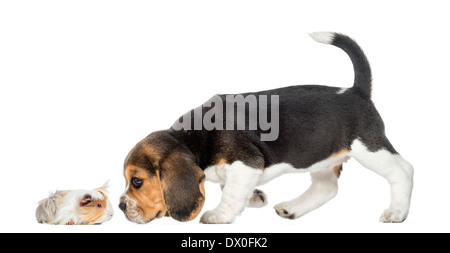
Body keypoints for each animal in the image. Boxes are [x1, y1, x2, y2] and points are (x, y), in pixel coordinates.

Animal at [118, 31, 414, 223]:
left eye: (137, 181)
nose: (120, 206)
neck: (194, 137)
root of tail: (356, 92)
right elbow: (231, 188)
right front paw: (254, 197)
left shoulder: (246, 163)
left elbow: (230, 193)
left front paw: (219, 215)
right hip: (322, 155)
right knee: (327, 187)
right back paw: (293, 208)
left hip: (369, 148)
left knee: (403, 170)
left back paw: (397, 212)